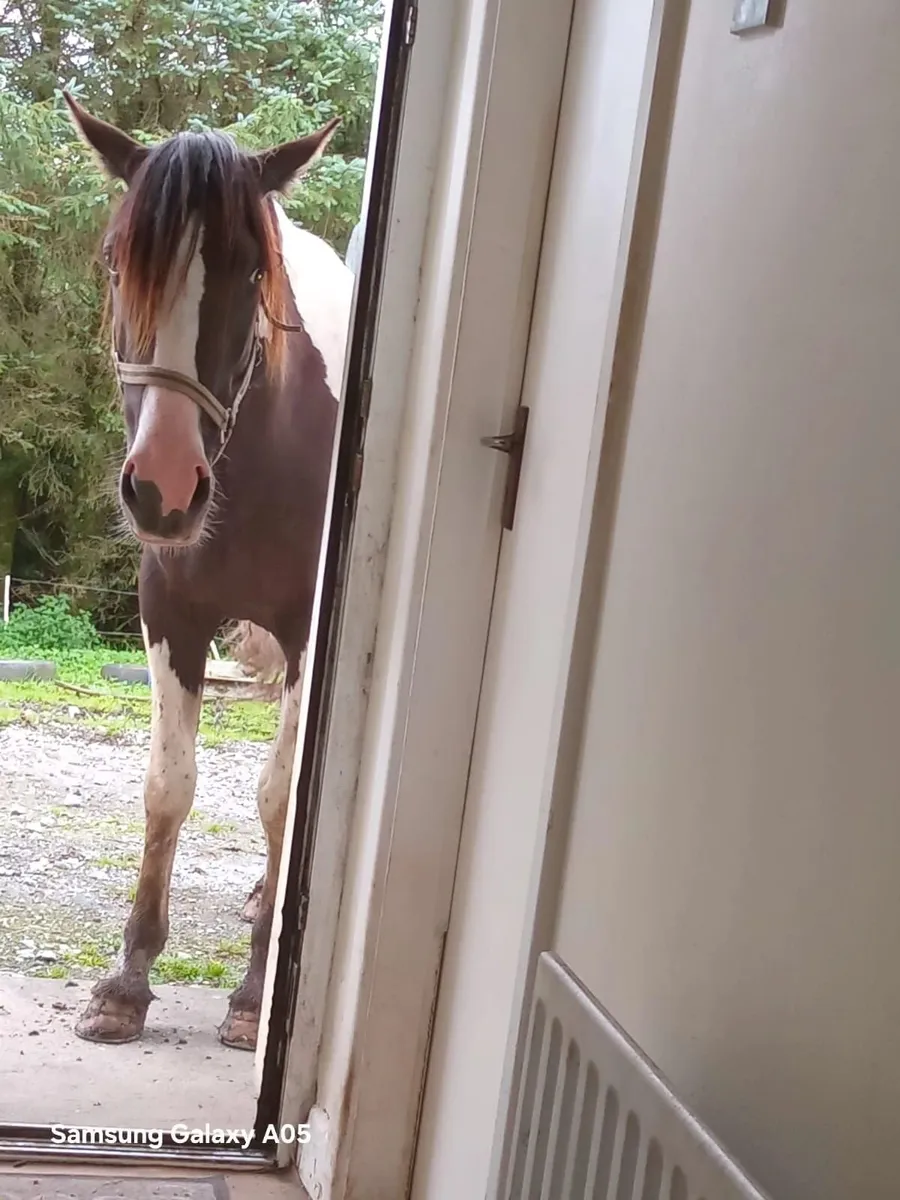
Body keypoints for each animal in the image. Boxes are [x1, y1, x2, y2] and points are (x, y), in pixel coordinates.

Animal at [63, 93, 354, 1051]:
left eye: (251, 274)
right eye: (119, 264)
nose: (163, 488)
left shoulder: (309, 634)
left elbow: (279, 800)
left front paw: (254, 993)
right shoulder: (170, 615)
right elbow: (168, 787)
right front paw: (126, 983)